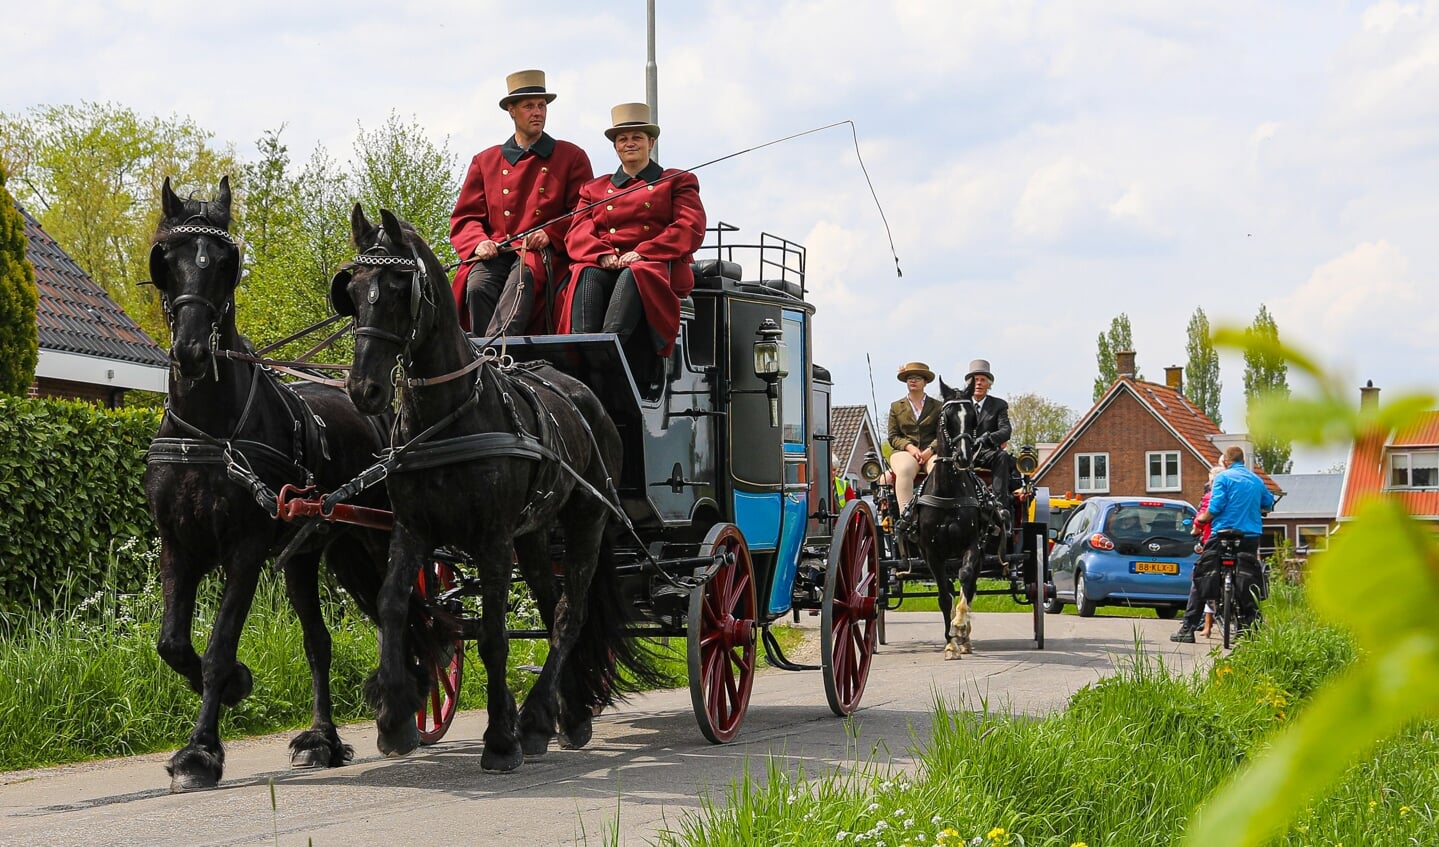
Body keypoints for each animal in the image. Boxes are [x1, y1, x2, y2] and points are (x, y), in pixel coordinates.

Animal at [144, 174, 443, 788]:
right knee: (320, 642)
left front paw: (201, 751)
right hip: (317, 555)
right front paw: (237, 686)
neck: (209, 429)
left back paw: (409, 696)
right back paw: (325, 739)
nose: (191, 351)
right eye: (169, 258)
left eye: (224, 263)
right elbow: (173, 644)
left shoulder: (246, 547)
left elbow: (217, 645)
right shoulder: (178, 545)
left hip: (374, 540)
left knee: (402, 614)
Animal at [329, 204, 650, 765]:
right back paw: (565, 714)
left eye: (398, 287)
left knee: (569, 614)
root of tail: (586, 396)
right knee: (550, 604)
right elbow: (393, 605)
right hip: (536, 533)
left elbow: (495, 636)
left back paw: (540, 717)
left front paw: (501, 738)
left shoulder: (493, 539)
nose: (363, 389)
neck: (449, 416)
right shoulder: (412, 529)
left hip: (586, 521)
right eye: (352, 289)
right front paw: (394, 719)